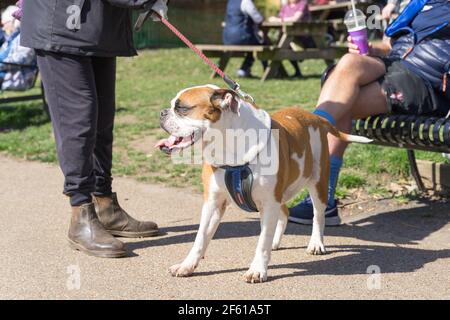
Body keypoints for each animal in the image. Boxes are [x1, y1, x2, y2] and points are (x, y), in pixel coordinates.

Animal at [156, 85, 370, 282]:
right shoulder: (213, 204)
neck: (229, 146)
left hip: (317, 185)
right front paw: (187, 265)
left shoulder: (268, 204)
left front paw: (257, 269)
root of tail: (314, 118)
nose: (162, 112)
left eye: (181, 108)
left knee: (318, 216)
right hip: (280, 195)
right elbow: (200, 238)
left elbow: (262, 242)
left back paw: (316, 243)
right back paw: (276, 241)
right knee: (285, 213)